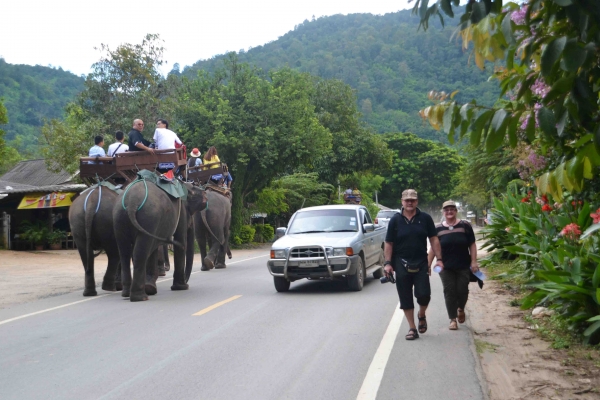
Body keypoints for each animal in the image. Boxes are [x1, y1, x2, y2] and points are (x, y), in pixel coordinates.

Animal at [113, 173, 207, 302]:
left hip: (119, 218)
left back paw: (127, 294)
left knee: (125, 253)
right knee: (140, 252)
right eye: (190, 215)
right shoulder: (181, 211)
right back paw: (141, 297)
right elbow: (180, 241)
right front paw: (181, 287)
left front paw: (151, 287)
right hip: (148, 217)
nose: (187, 282)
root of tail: (132, 203)